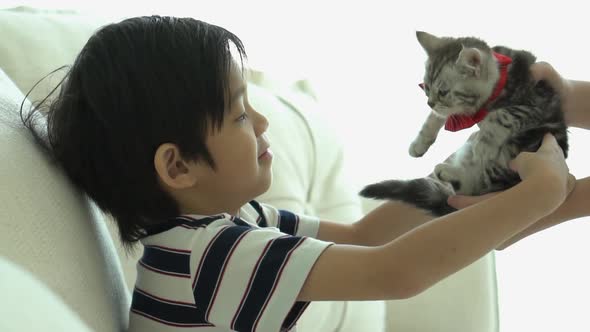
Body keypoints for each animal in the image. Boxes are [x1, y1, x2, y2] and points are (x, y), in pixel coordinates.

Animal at [360, 31, 568, 217]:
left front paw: (484, 145)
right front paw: (419, 143)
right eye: (426, 87)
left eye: (443, 92)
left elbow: (500, 114)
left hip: (518, 149)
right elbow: (435, 117)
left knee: (479, 184)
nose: (429, 102)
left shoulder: (536, 105)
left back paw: (452, 170)